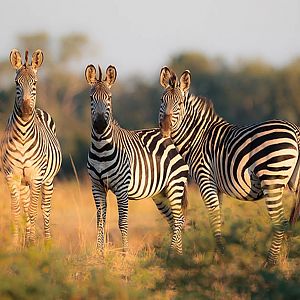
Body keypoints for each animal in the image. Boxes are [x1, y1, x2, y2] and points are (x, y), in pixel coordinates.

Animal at [0, 49, 61, 246]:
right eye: (16, 83)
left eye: (34, 83)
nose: (27, 111)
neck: (23, 135)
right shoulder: (12, 176)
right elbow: (16, 211)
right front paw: (15, 244)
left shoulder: (36, 176)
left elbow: (34, 212)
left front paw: (32, 242)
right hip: (24, 182)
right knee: (26, 207)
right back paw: (26, 241)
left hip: (47, 180)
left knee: (45, 208)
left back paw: (46, 242)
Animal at [84, 63, 189, 255]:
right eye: (91, 98)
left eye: (109, 98)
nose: (100, 125)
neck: (101, 146)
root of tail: (170, 137)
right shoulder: (96, 187)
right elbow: (100, 221)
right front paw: (99, 254)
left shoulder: (121, 188)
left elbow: (122, 222)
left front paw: (125, 253)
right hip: (160, 193)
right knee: (173, 220)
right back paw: (177, 255)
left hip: (175, 185)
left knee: (179, 220)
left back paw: (173, 254)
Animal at [157, 66, 300, 268]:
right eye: (162, 101)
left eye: (180, 103)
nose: (165, 130)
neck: (197, 137)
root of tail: (295, 131)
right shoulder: (218, 187)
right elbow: (220, 218)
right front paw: (217, 257)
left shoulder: (205, 178)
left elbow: (214, 217)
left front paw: (220, 258)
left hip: (272, 180)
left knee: (280, 222)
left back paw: (270, 263)